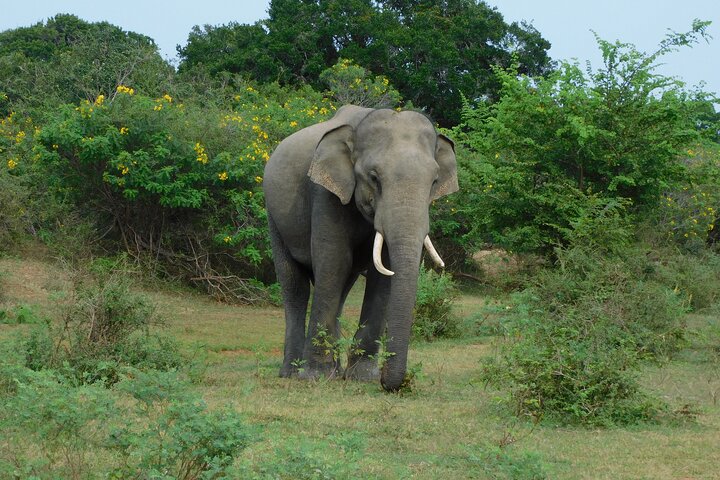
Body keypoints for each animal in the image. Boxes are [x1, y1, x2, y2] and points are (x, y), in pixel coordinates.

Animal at [263, 105, 458, 391]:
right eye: (374, 178)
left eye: (434, 181)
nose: (389, 382)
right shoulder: (325, 193)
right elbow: (334, 262)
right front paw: (316, 376)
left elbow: (382, 276)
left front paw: (362, 377)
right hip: (274, 218)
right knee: (295, 286)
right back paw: (291, 372)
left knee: (342, 289)